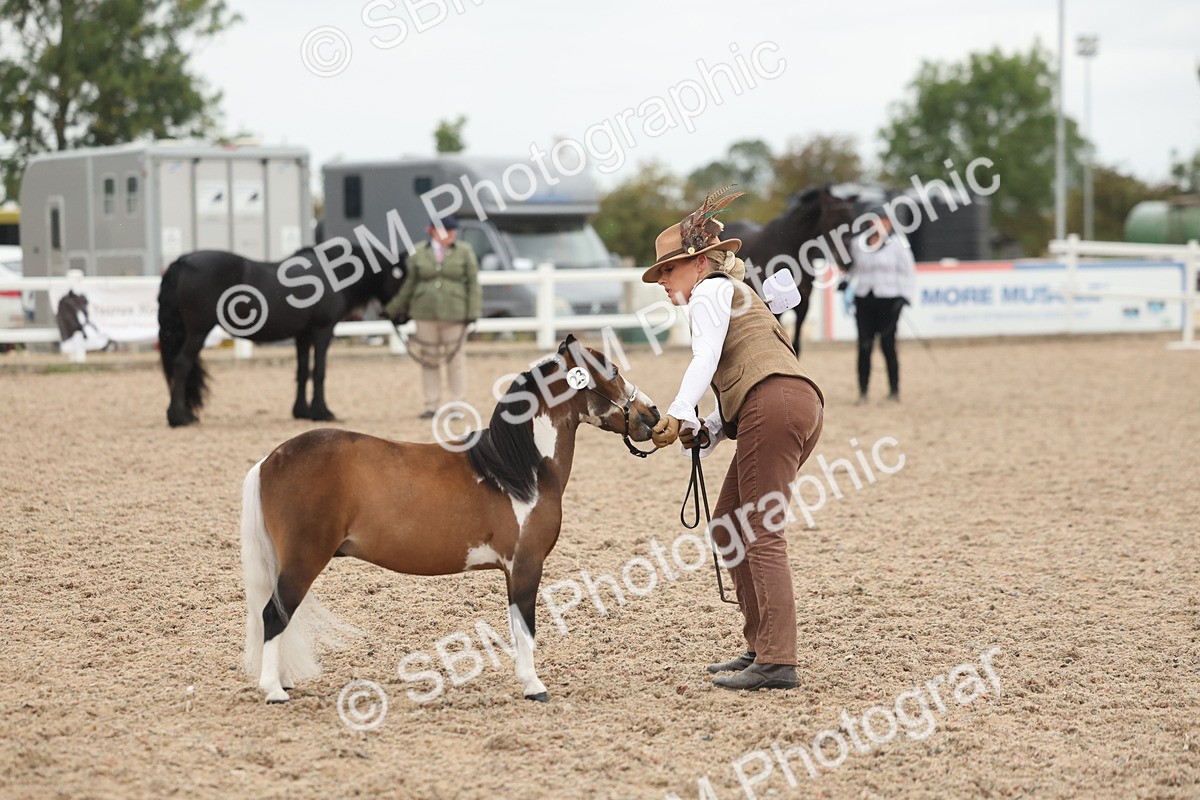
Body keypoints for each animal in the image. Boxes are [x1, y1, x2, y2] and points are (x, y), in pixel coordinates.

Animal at [157, 244, 405, 427]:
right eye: (401, 276)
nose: (401, 318)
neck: (333, 272)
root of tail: (183, 261)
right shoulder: (323, 330)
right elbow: (319, 371)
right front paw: (322, 412)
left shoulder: (303, 335)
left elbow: (303, 371)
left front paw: (302, 411)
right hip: (197, 332)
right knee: (182, 364)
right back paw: (179, 417)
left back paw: (184, 415)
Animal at [240, 334, 660, 703]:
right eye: (612, 370)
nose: (652, 413)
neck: (517, 468)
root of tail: (270, 460)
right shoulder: (526, 564)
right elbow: (526, 626)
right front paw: (534, 686)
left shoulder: (512, 568)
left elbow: (514, 625)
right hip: (303, 561)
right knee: (273, 615)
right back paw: (274, 690)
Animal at [724, 185, 857, 356]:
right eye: (834, 219)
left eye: (851, 220)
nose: (849, 261)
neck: (789, 246)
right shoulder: (775, 308)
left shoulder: (803, 304)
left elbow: (796, 345)